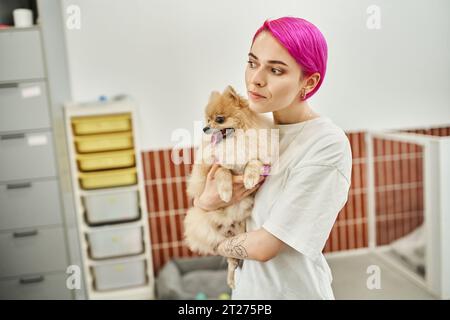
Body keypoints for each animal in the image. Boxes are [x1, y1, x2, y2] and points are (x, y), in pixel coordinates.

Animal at [183, 85, 274, 288]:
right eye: (207, 119)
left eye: (219, 119)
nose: (204, 128)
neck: (235, 142)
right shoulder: (214, 166)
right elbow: (223, 172)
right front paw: (225, 193)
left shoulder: (258, 158)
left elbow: (253, 163)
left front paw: (249, 178)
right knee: (230, 259)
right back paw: (231, 280)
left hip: (239, 233)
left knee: (234, 259)